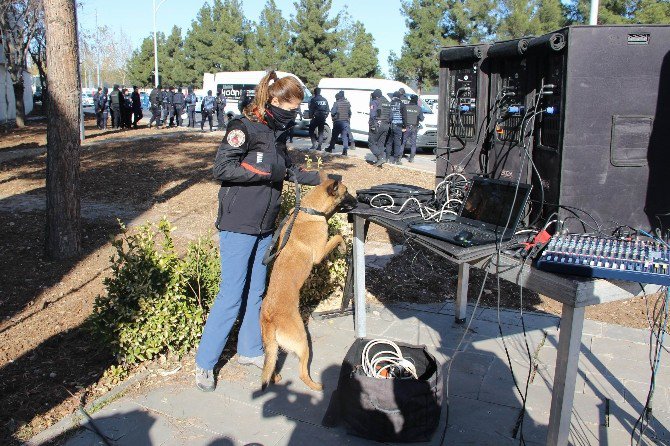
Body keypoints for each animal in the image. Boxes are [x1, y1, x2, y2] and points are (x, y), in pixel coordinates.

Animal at [260, 175, 360, 390]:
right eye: (346, 192)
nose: (357, 201)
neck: (310, 210)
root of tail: (270, 316)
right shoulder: (320, 253)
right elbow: (337, 236)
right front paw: (342, 247)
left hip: (272, 346)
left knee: (271, 364)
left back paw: (276, 378)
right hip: (303, 341)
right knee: (302, 374)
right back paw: (318, 386)